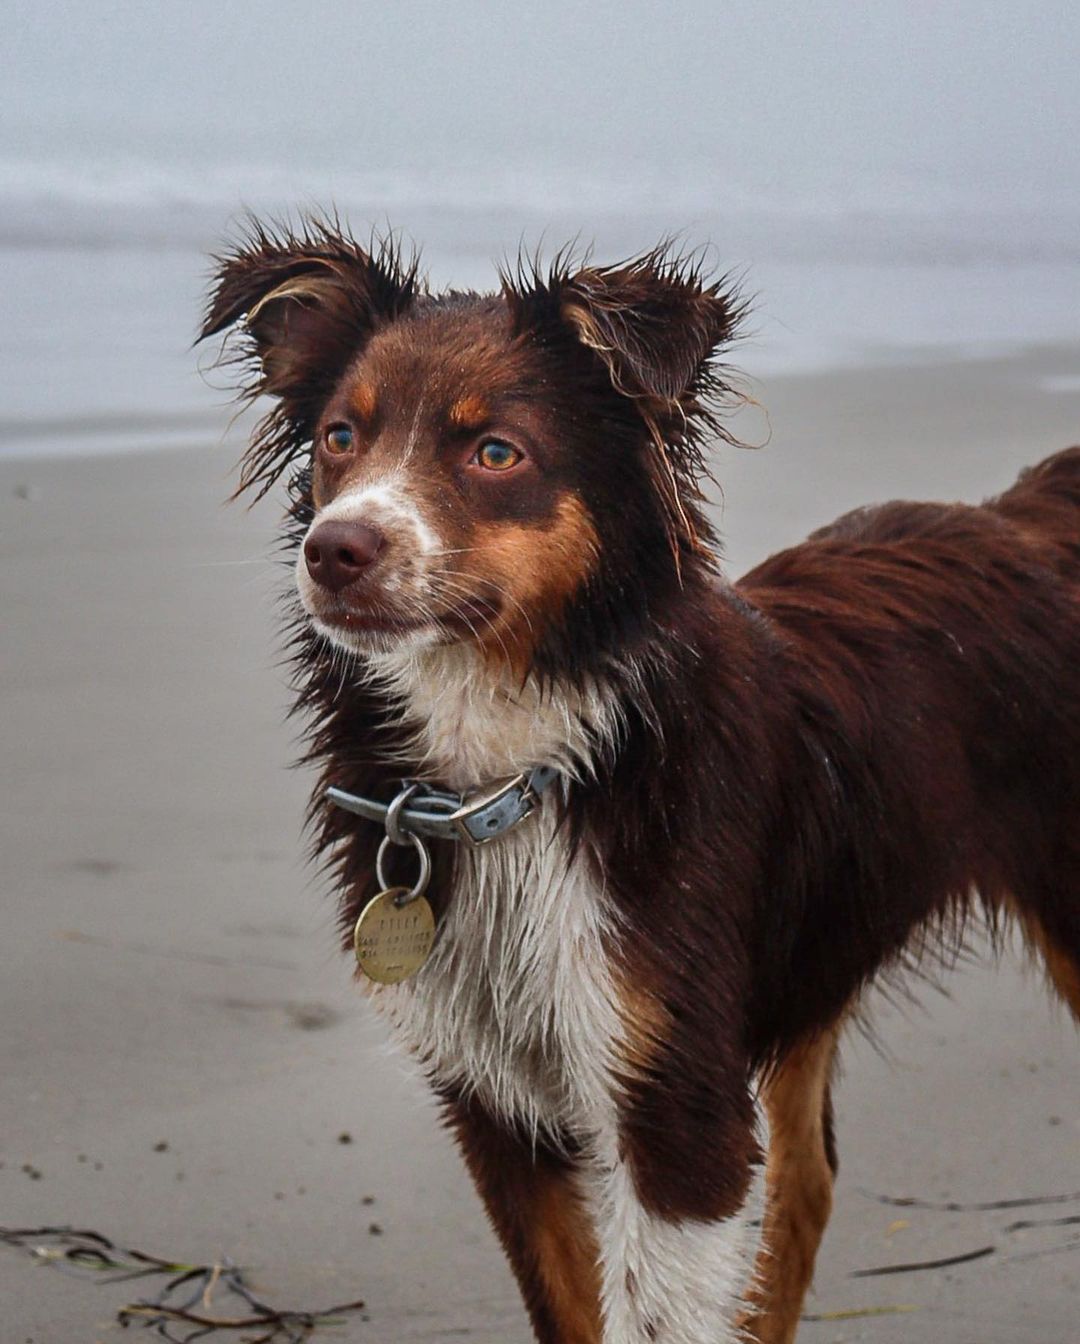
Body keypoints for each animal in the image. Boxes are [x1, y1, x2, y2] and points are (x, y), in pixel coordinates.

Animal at [201, 220, 1080, 1344]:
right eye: (340, 438)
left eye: (497, 453)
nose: (333, 549)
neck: (518, 776)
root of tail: (1024, 519)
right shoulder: (498, 1102)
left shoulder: (675, 1108)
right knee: (808, 1182)